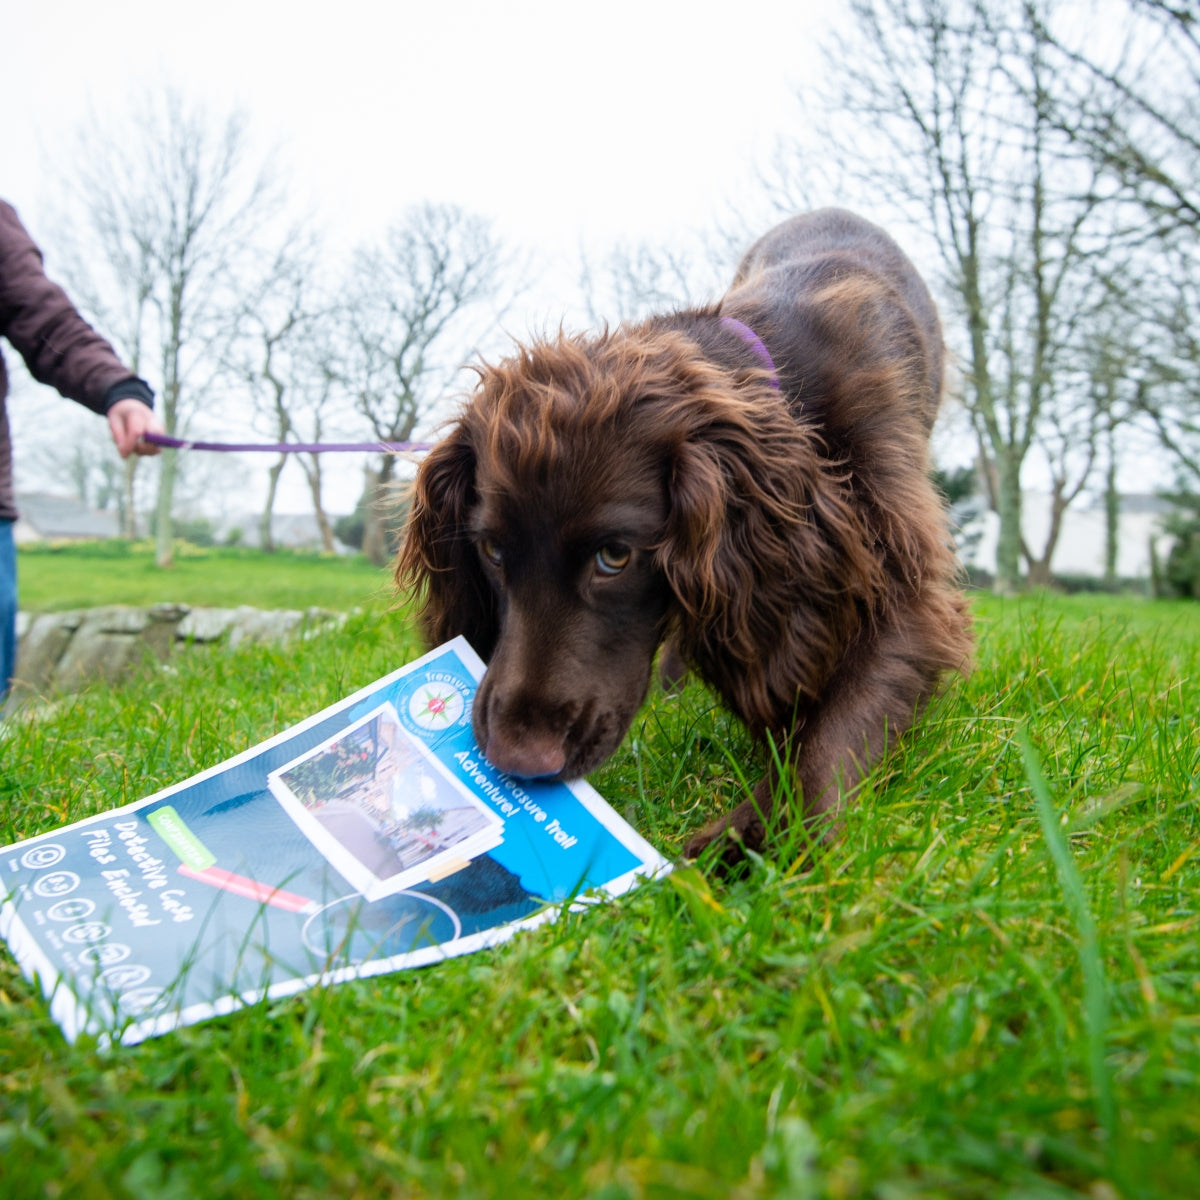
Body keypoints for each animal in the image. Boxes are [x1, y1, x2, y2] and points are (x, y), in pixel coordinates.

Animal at [396, 208, 974, 864]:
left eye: (614, 556)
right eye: (492, 551)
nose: (518, 760)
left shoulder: (905, 587)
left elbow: (832, 731)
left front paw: (764, 835)